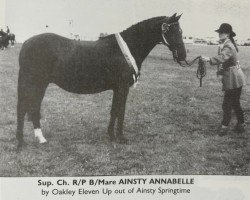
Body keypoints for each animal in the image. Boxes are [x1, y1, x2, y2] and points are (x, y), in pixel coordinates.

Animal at [16, 13, 186, 148]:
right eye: (171, 30)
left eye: (181, 31)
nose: (183, 56)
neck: (127, 48)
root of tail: (26, 43)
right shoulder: (123, 88)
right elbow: (121, 111)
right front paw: (121, 138)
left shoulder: (117, 88)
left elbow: (114, 111)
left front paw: (111, 135)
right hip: (35, 83)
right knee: (25, 108)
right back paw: (23, 141)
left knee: (31, 108)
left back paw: (38, 138)